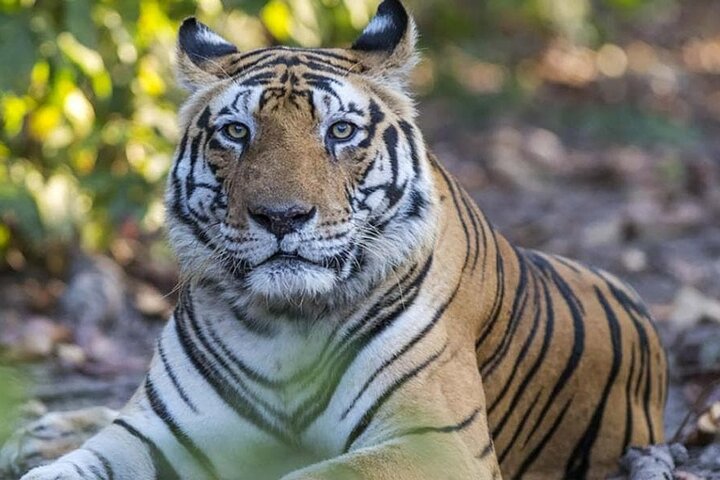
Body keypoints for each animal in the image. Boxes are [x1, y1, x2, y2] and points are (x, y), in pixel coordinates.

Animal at [21, 1, 667, 479]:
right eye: (236, 131)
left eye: (340, 131)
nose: (282, 216)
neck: (284, 324)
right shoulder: (155, 431)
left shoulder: (435, 443)